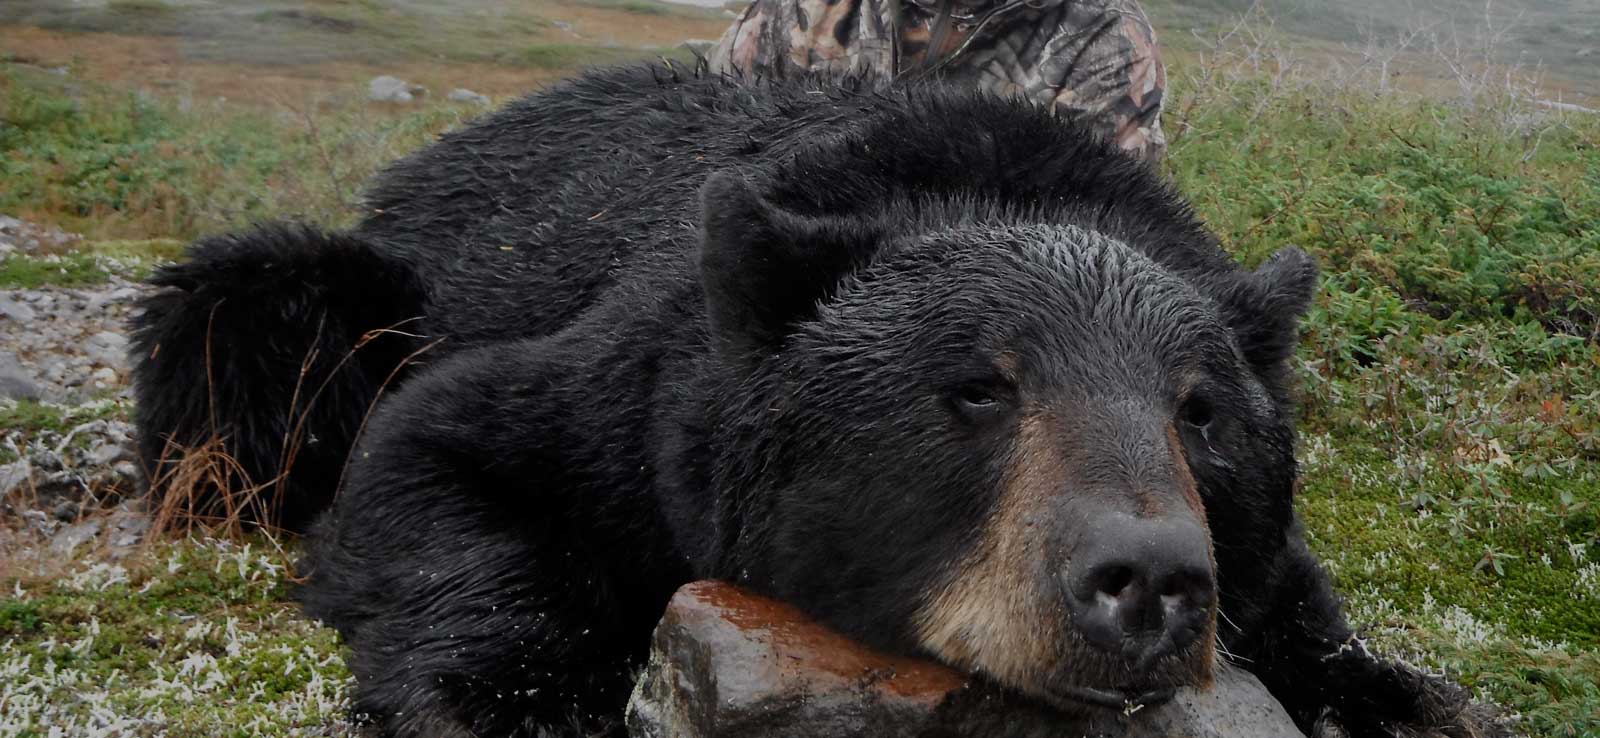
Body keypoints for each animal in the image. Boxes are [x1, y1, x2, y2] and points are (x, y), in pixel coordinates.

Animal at [130, 66, 1504, 738]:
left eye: (1200, 410)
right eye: (978, 389)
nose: (1150, 582)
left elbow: (1303, 603)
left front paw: (1404, 701)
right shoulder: (634, 384)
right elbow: (436, 450)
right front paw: (512, 701)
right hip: (352, 289)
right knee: (245, 315)